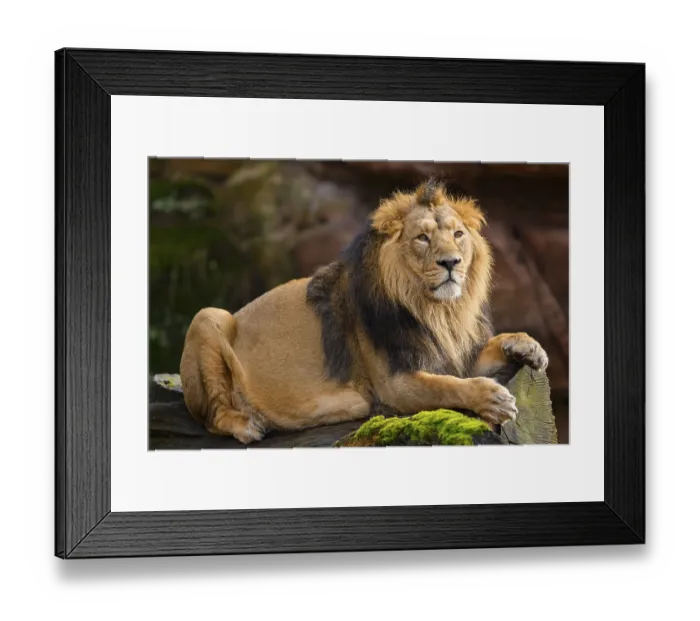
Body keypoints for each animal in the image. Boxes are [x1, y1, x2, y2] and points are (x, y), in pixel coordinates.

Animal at [180, 180, 548, 444]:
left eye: (458, 234)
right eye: (422, 238)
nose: (451, 263)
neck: (438, 312)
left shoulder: (448, 353)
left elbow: (477, 358)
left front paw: (526, 345)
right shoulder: (394, 384)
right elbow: (449, 387)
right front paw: (494, 399)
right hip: (208, 316)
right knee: (212, 417)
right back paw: (248, 424)